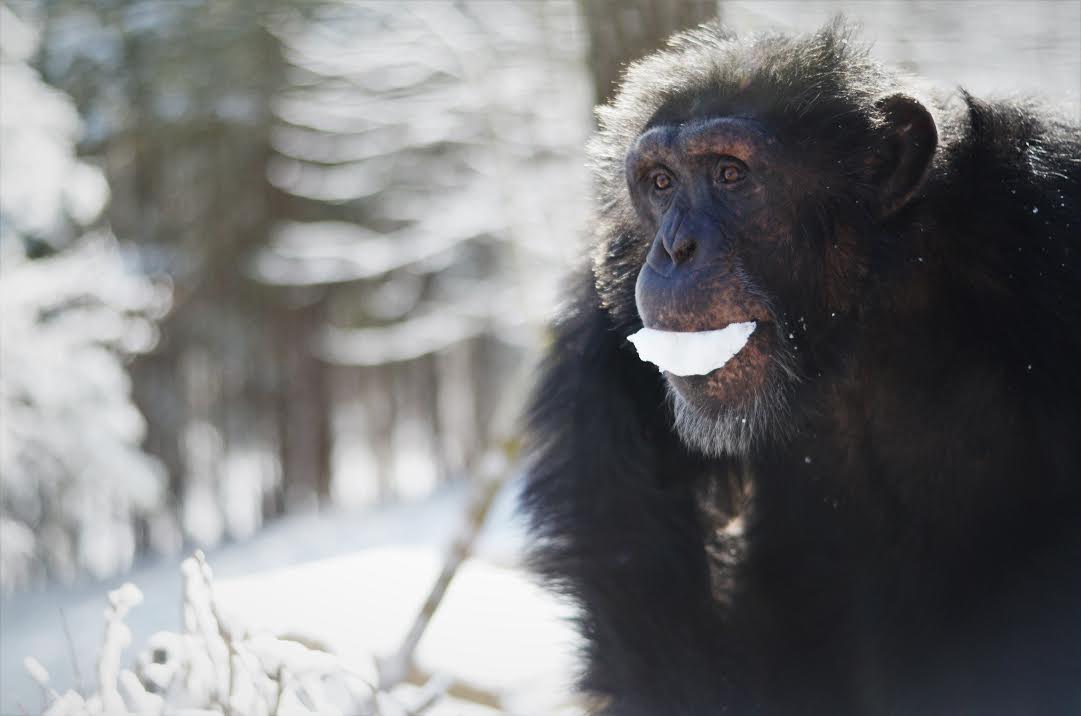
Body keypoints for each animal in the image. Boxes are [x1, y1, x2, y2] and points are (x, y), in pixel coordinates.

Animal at [518, 19, 1076, 713]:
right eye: (661, 183)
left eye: (730, 174)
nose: (674, 248)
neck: (869, 300)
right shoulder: (607, 312)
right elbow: (631, 551)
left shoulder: (1050, 230)